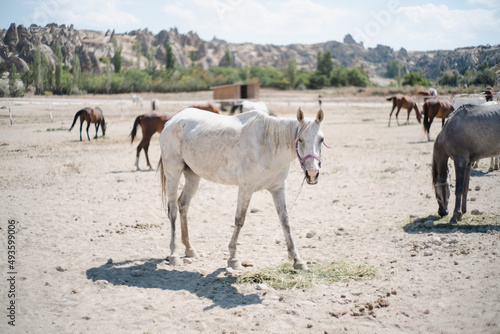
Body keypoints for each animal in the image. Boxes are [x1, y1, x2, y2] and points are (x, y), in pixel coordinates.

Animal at [158, 108, 326, 270]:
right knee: (173, 210)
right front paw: (233, 259)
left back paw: (189, 249)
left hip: (193, 176)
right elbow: (239, 220)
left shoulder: (278, 188)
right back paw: (174, 254)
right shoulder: (246, 188)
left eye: (321, 139)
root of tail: (172, 121)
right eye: (300, 139)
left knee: (183, 204)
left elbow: (285, 221)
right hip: (173, 173)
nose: (312, 173)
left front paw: (297, 260)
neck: (268, 145)